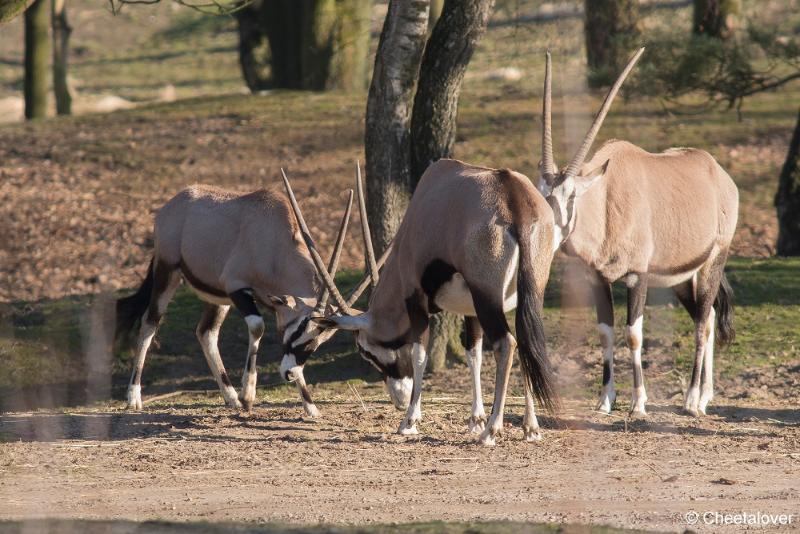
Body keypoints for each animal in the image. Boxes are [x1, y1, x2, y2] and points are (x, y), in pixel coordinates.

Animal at [115, 182, 360, 416]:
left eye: (316, 342)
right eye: (300, 330)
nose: (290, 374)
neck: (276, 245)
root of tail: (175, 201)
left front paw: (310, 407)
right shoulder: (237, 287)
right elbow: (258, 327)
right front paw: (248, 396)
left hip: (218, 297)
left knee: (206, 332)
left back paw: (231, 397)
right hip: (168, 272)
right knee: (149, 323)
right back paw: (134, 396)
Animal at [284, 164, 560, 448]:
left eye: (365, 352)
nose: (399, 400)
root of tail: (513, 196)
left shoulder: (415, 298)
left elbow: (420, 354)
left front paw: (409, 421)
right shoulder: (470, 309)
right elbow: (473, 353)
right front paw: (475, 419)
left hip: (487, 296)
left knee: (506, 343)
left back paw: (491, 431)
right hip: (526, 294)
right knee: (527, 343)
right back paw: (530, 427)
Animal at [536, 48, 736, 418]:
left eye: (571, 196)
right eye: (542, 194)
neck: (605, 199)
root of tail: (717, 172)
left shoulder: (636, 276)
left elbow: (633, 334)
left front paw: (638, 402)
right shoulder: (597, 278)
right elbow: (605, 332)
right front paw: (605, 400)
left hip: (713, 261)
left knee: (703, 323)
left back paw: (691, 400)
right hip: (681, 278)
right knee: (709, 316)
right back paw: (705, 395)